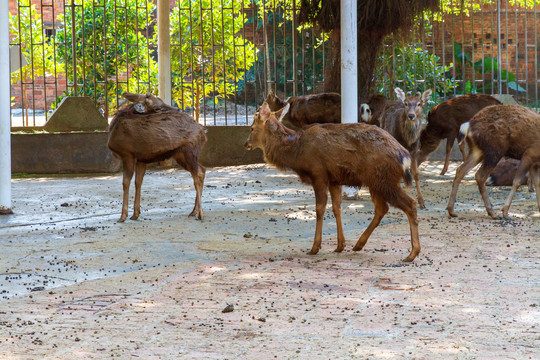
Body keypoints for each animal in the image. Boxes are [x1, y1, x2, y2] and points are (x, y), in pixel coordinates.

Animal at [107, 93, 207, 222]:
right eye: (157, 108)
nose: (177, 109)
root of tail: (203, 132)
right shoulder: (140, 159)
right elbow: (138, 182)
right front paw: (135, 214)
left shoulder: (127, 154)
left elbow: (125, 183)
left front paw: (123, 216)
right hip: (182, 155)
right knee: (202, 169)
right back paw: (193, 211)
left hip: (189, 151)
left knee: (198, 173)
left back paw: (200, 213)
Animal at [245, 100, 422, 262]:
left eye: (252, 128)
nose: (246, 143)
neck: (296, 152)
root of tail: (404, 156)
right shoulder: (334, 180)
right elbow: (337, 207)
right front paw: (340, 245)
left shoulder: (318, 174)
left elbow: (319, 208)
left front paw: (315, 247)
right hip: (376, 182)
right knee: (382, 208)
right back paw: (358, 244)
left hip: (384, 179)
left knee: (409, 204)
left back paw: (412, 253)